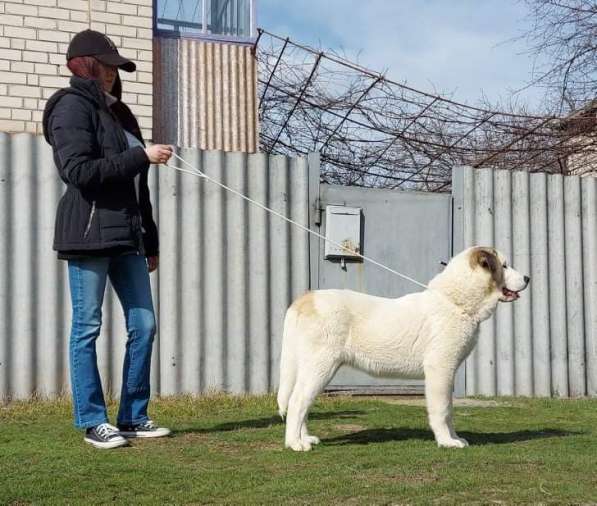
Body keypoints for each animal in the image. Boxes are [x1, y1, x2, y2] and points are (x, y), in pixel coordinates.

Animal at [278, 246, 528, 450]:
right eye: (504, 265)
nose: (527, 277)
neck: (454, 302)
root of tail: (305, 299)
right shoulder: (440, 369)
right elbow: (443, 409)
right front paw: (446, 441)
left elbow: (450, 411)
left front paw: (455, 438)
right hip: (320, 366)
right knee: (297, 401)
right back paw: (294, 444)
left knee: (301, 403)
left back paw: (305, 438)